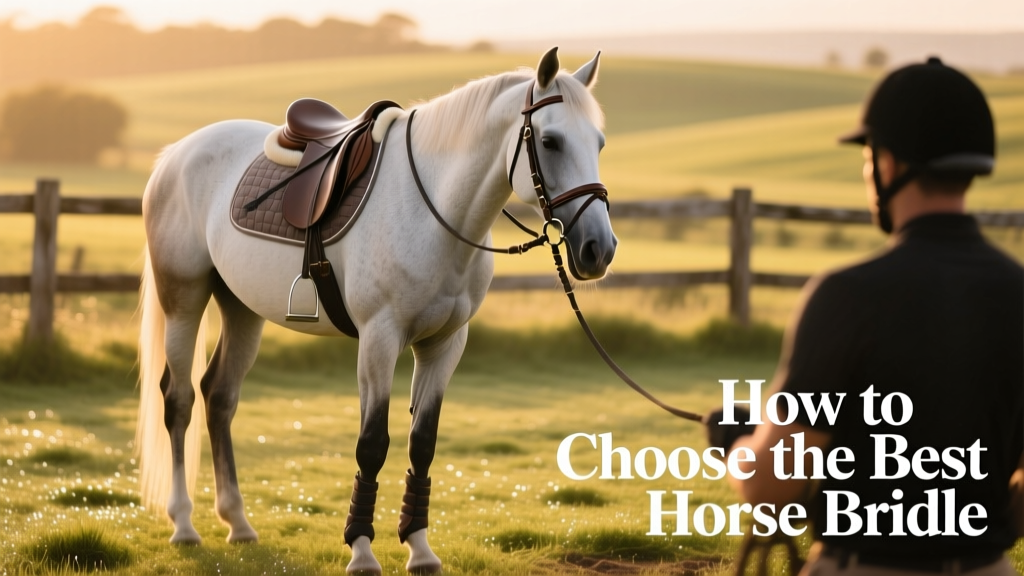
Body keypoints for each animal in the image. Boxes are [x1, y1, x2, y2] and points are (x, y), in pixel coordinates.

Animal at [135, 47, 616, 575]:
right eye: (549, 141)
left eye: (598, 142)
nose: (599, 249)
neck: (433, 210)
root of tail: (177, 154)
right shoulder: (379, 340)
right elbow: (372, 444)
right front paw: (362, 550)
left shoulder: (444, 345)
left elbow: (421, 444)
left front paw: (419, 547)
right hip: (183, 301)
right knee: (179, 400)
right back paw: (184, 524)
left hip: (242, 309)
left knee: (219, 397)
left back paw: (238, 523)